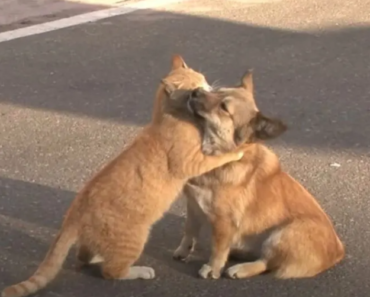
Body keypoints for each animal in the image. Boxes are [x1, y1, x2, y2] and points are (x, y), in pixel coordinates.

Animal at [2, 57, 246, 296]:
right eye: (196, 88)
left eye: (203, 80)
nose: (208, 88)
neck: (167, 116)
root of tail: (74, 211)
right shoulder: (193, 162)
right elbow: (218, 157)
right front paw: (237, 150)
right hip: (134, 239)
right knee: (111, 271)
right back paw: (140, 271)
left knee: (84, 256)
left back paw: (97, 257)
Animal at [173, 70, 344, 278]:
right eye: (217, 90)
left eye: (224, 108)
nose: (196, 91)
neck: (221, 158)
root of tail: (338, 251)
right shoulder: (193, 206)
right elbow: (189, 231)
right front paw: (183, 250)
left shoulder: (224, 222)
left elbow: (218, 249)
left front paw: (212, 268)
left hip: (282, 234)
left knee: (267, 263)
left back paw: (241, 268)